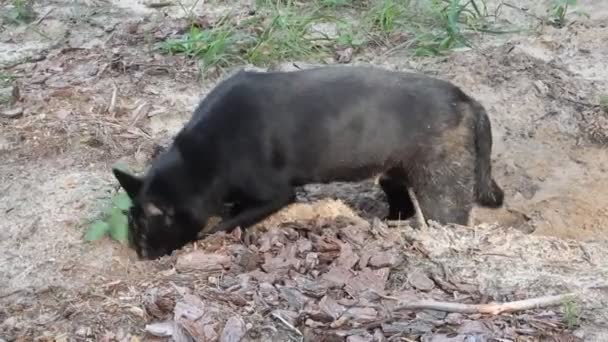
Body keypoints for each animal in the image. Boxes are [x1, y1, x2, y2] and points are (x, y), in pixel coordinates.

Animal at [114, 65, 504, 260]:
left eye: (143, 231)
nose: (140, 254)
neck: (200, 159)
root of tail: (469, 100)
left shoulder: (277, 194)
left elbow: (227, 222)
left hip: (441, 187)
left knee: (448, 219)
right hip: (395, 171)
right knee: (400, 202)